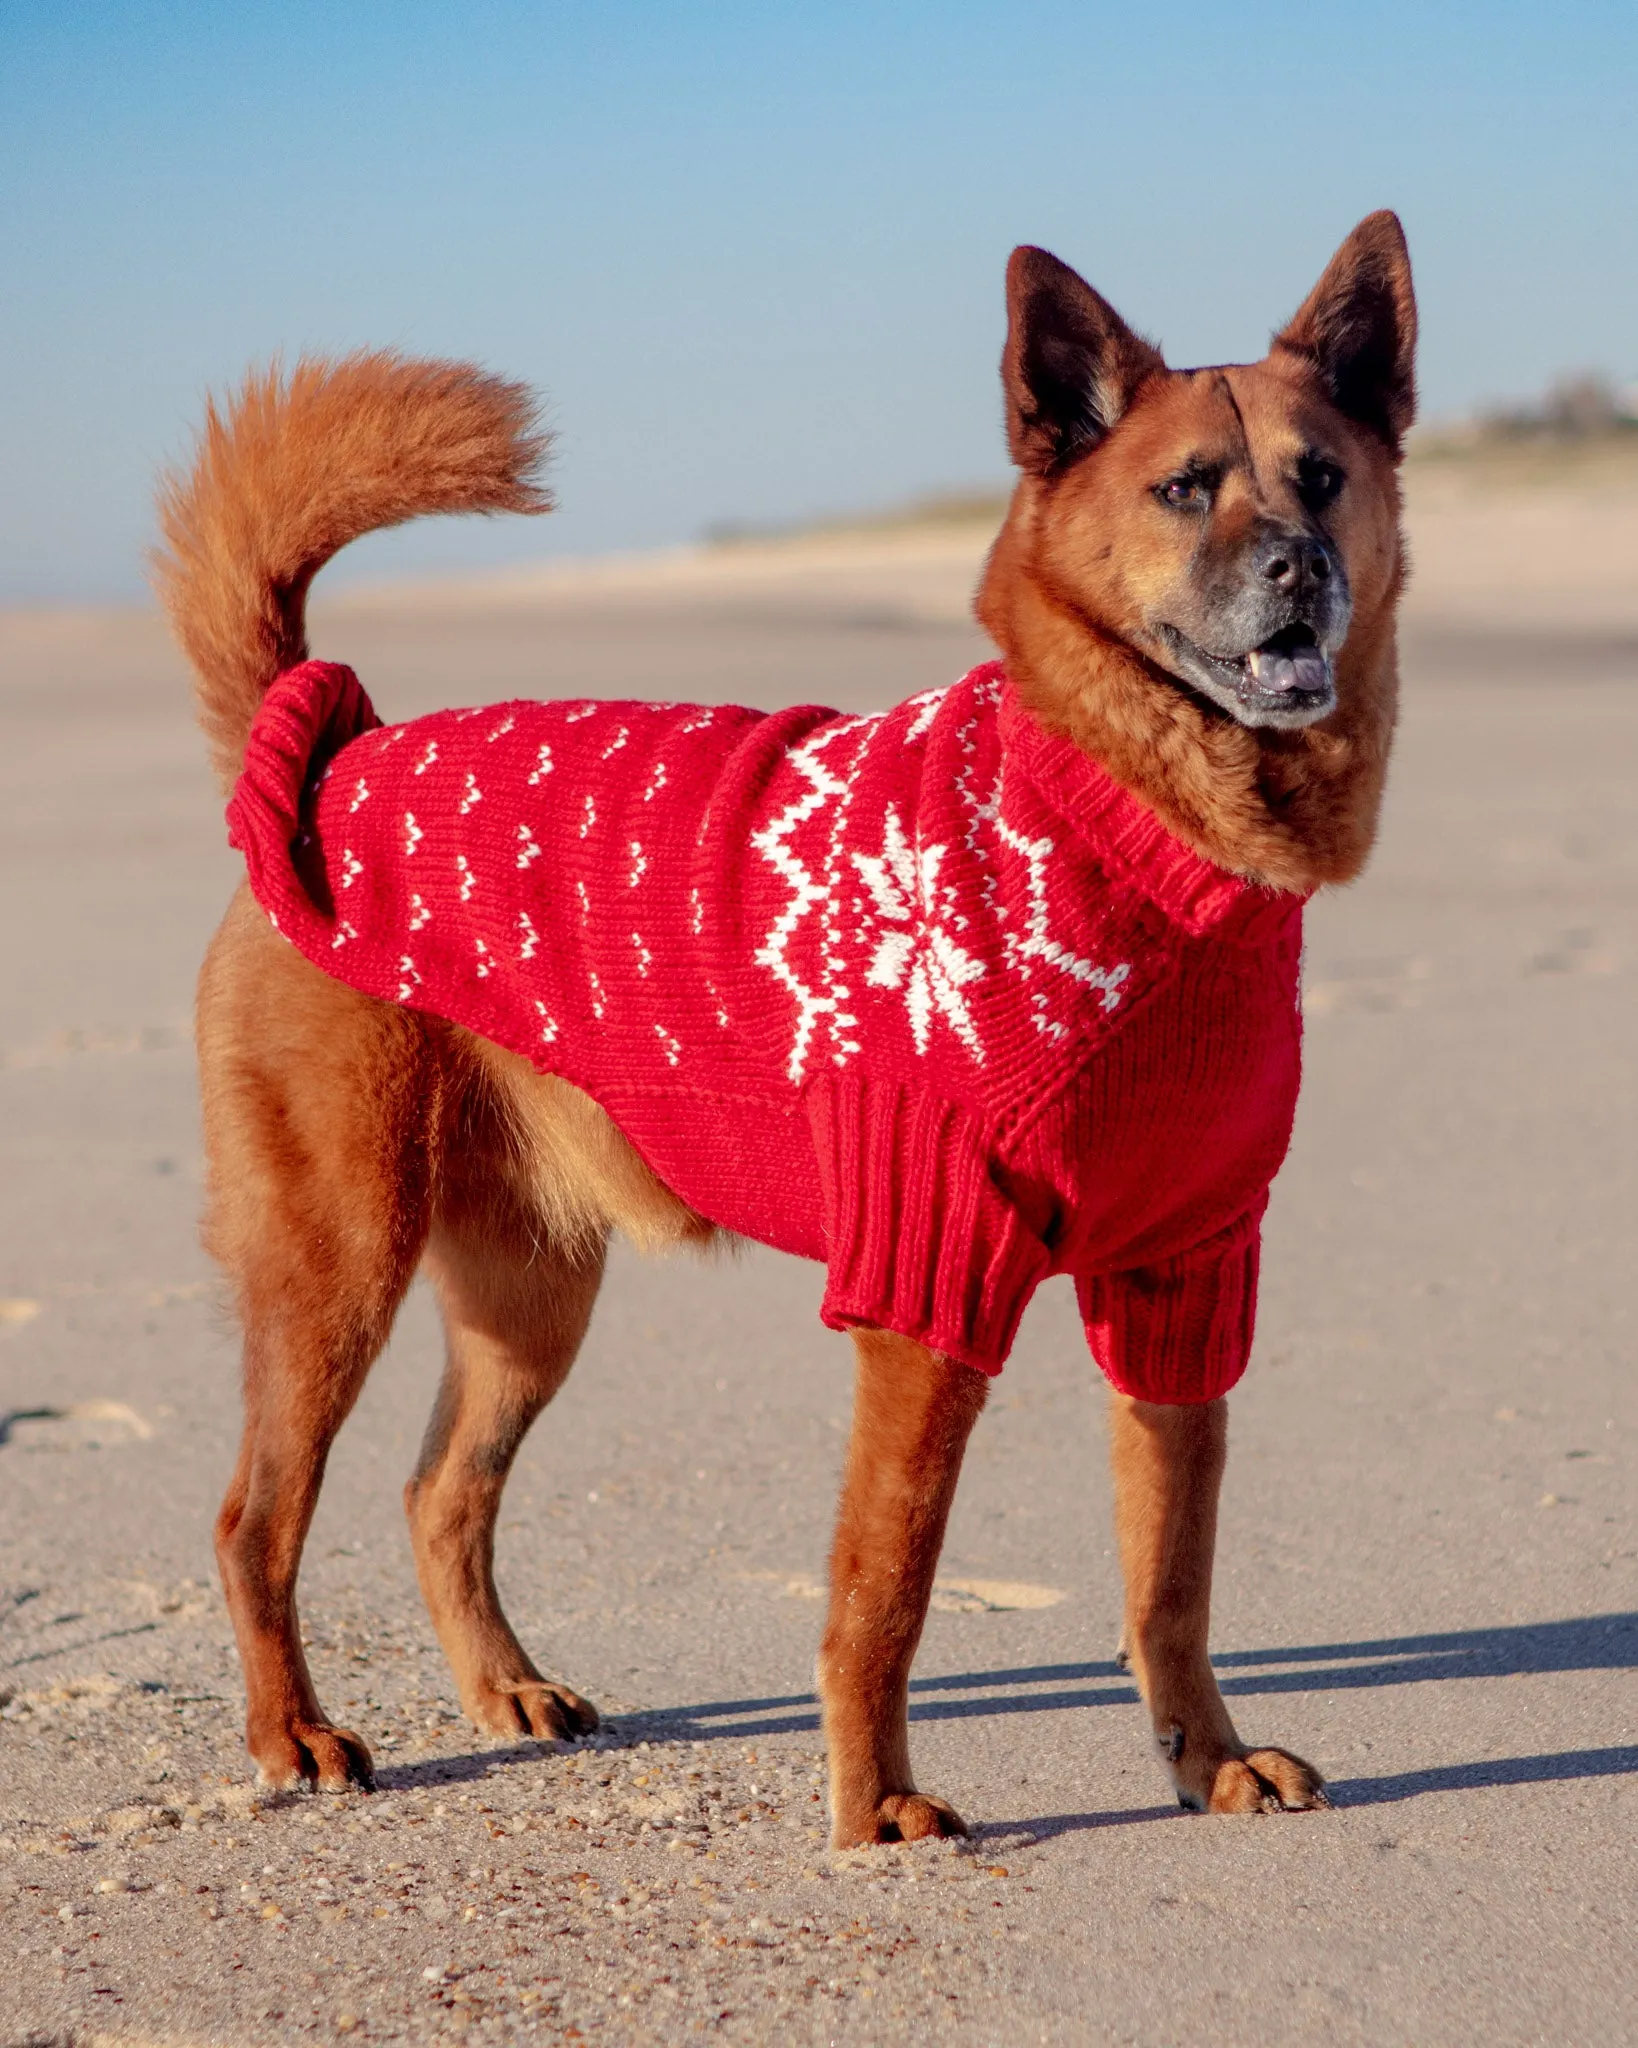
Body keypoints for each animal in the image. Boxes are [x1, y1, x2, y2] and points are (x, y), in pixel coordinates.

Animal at [153, 207, 1408, 1843]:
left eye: (1322, 476)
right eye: (1186, 486)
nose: (1297, 568)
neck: (1126, 827)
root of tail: (324, 751)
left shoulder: (1180, 1287)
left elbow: (1170, 1578)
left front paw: (1207, 1759)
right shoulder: (924, 1287)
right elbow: (886, 1583)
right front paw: (876, 1808)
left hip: (529, 1295)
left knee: (443, 1494)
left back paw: (505, 1689)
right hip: (336, 1262)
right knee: (255, 1518)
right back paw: (293, 1731)